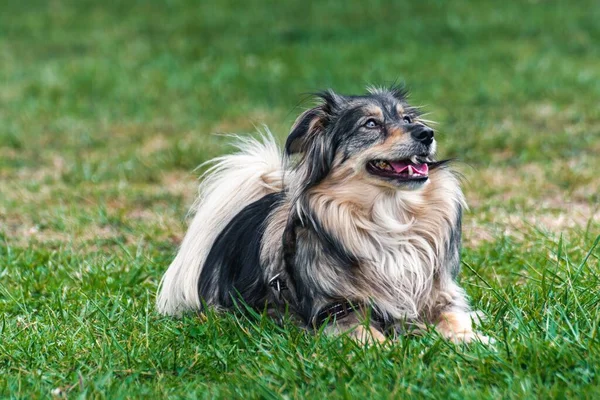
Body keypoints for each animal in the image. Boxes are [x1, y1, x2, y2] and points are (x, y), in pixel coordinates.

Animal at [158, 86, 488, 344]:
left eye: (407, 119)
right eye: (370, 124)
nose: (427, 133)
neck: (389, 217)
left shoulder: (438, 295)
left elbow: (453, 317)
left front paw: (471, 339)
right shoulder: (334, 309)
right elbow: (366, 333)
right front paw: (389, 349)